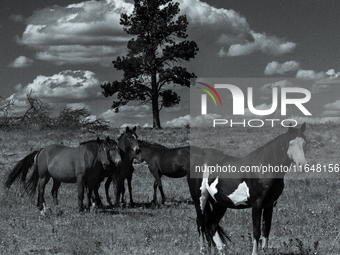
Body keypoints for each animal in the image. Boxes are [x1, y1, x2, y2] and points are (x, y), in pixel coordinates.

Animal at [189, 123, 308, 255]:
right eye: (290, 143)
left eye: (305, 143)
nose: (302, 165)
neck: (264, 168)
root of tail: (199, 162)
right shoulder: (257, 205)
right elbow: (256, 232)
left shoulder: (269, 205)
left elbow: (266, 230)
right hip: (200, 200)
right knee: (201, 224)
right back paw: (203, 250)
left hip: (218, 203)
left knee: (211, 225)